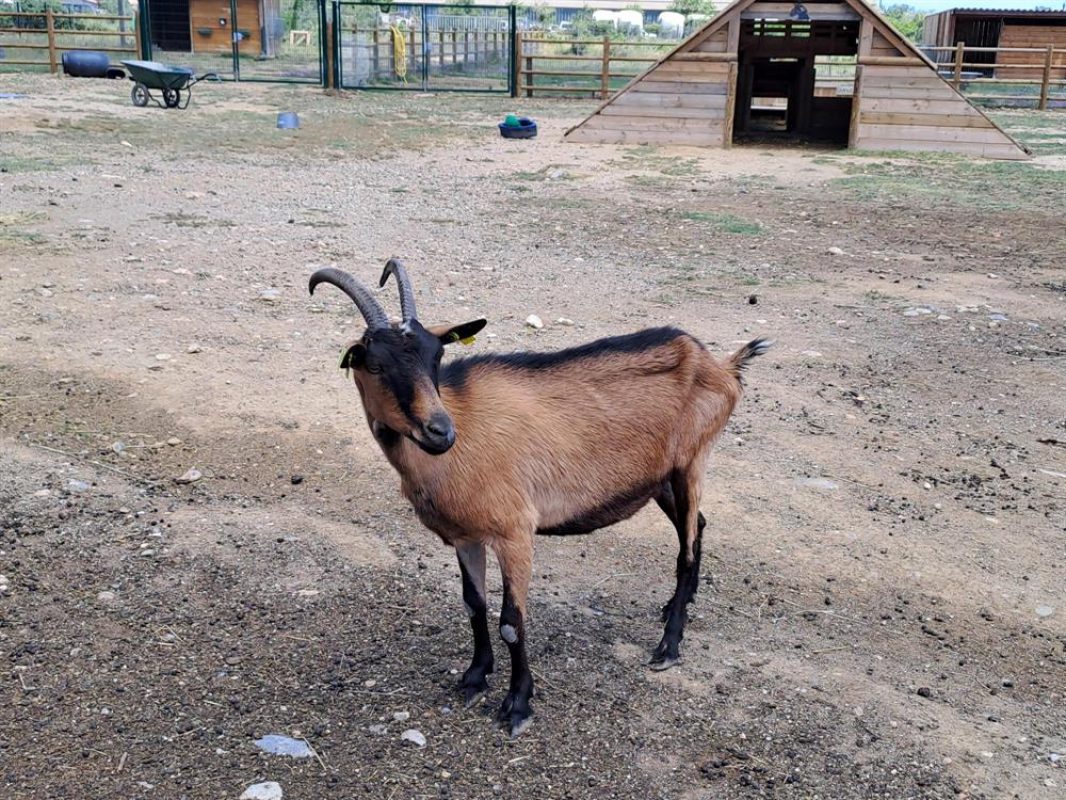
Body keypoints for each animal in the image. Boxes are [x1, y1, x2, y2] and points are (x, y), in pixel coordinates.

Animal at [309, 259, 769, 737]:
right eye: (375, 365)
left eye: (436, 356)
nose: (440, 431)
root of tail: (719, 365)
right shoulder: (465, 537)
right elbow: (473, 604)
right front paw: (474, 677)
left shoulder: (515, 533)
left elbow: (512, 623)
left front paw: (517, 705)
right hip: (660, 478)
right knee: (695, 526)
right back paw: (675, 608)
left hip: (692, 462)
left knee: (688, 548)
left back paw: (669, 646)